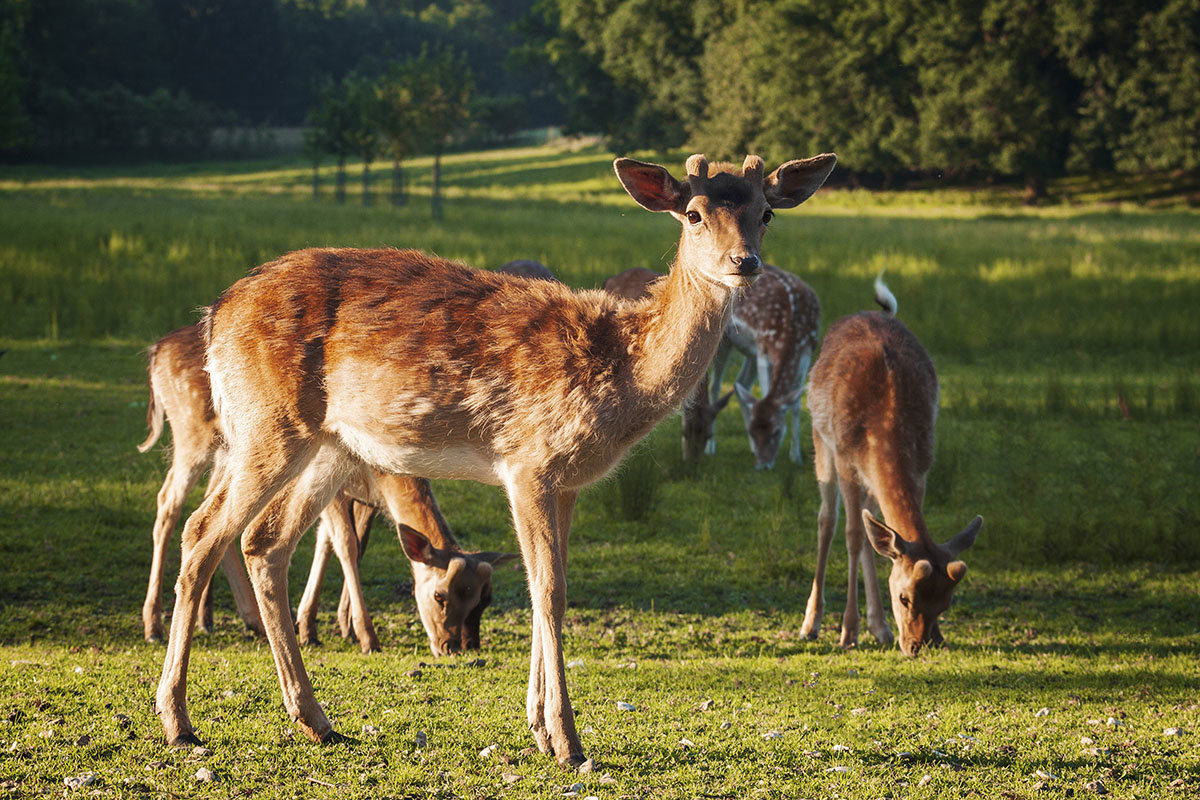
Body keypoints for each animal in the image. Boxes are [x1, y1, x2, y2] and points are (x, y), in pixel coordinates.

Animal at [139, 321, 511, 652]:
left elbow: (341, 545)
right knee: (168, 504)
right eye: (440, 596)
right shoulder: (335, 485)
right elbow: (345, 544)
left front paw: (326, 625)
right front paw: (363, 636)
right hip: (193, 436)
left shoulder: (365, 499)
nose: (459, 646)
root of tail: (156, 351)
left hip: (232, 456)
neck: (382, 478)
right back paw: (154, 625)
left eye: (484, 600)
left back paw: (230, 619)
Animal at [715, 262, 820, 470]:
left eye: (776, 431)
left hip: (750, 351)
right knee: (715, 386)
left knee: (741, 384)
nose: (762, 465)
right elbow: (765, 393)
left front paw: (796, 456)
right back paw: (709, 447)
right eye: (752, 430)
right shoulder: (763, 349)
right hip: (723, 339)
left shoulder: (807, 351)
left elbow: (796, 404)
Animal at [796, 278, 984, 652]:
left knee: (873, 529)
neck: (886, 425)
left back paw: (880, 628)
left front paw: (879, 627)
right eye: (905, 598)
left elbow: (882, 537)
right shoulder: (846, 460)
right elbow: (854, 535)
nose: (920, 645)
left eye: (946, 603)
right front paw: (848, 632)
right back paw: (812, 624)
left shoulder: (923, 465)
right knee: (827, 519)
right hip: (820, 440)